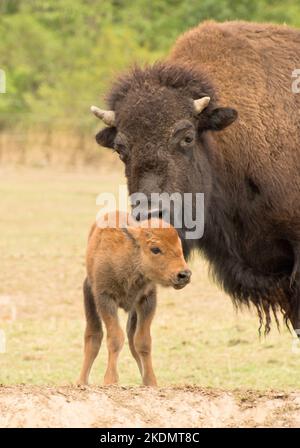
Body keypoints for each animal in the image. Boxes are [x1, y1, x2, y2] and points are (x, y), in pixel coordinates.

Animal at [77, 212, 190, 386]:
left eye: (180, 245)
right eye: (155, 249)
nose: (184, 274)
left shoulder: (147, 300)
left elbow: (143, 341)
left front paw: (150, 382)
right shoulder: (105, 299)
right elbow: (115, 338)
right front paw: (110, 380)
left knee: (131, 339)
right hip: (89, 295)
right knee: (93, 337)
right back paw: (81, 382)